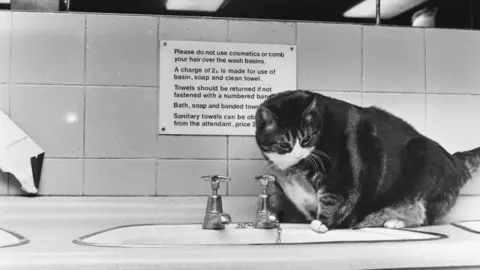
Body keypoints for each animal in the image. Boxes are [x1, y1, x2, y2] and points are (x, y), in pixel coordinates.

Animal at [253, 89, 478, 233]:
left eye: (306, 138)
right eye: (284, 144)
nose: (299, 154)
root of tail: (455, 160)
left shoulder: (341, 175)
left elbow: (333, 198)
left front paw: (323, 223)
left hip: (421, 152)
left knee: (422, 214)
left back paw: (395, 221)